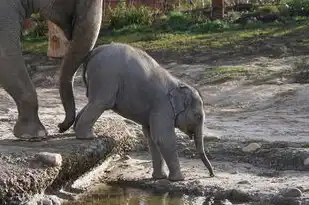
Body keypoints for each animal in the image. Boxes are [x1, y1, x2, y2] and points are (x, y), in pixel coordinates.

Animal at [74, 42, 214, 180]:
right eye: (198, 116)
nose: (211, 174)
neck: (179, 84)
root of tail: (96, 51)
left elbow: (151, 137)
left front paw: (159, 177)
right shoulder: (163, 106)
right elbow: (163, 138)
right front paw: (179, 179)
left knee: (93, 102)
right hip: (106, 77)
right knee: (101, 103)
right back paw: (87, 137)